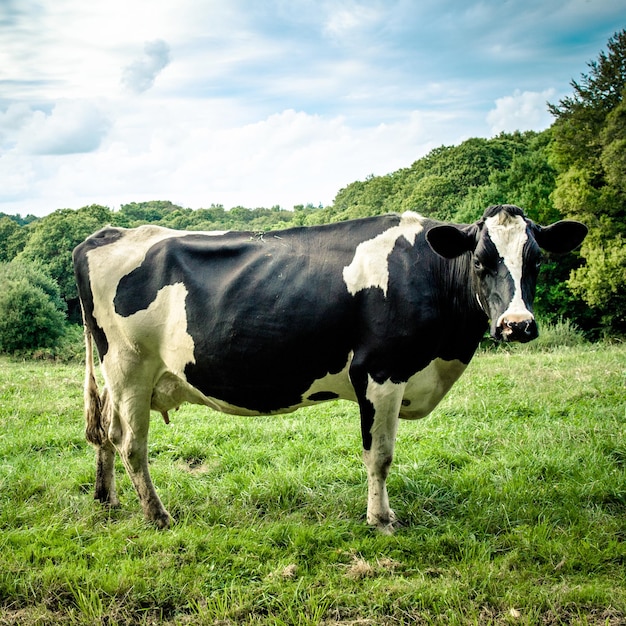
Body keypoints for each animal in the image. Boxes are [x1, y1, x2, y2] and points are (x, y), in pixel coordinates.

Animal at [72, 206, 584, 532]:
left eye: (536, 260)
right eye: (480, 261)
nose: (517, 325)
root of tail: (106, 234)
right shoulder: (380, 372)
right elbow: (380, 455)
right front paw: (381, 520)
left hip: (120, 377)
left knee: (106, 434)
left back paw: (107, 499)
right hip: (129, 366)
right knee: (130, 443)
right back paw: (158, 516)